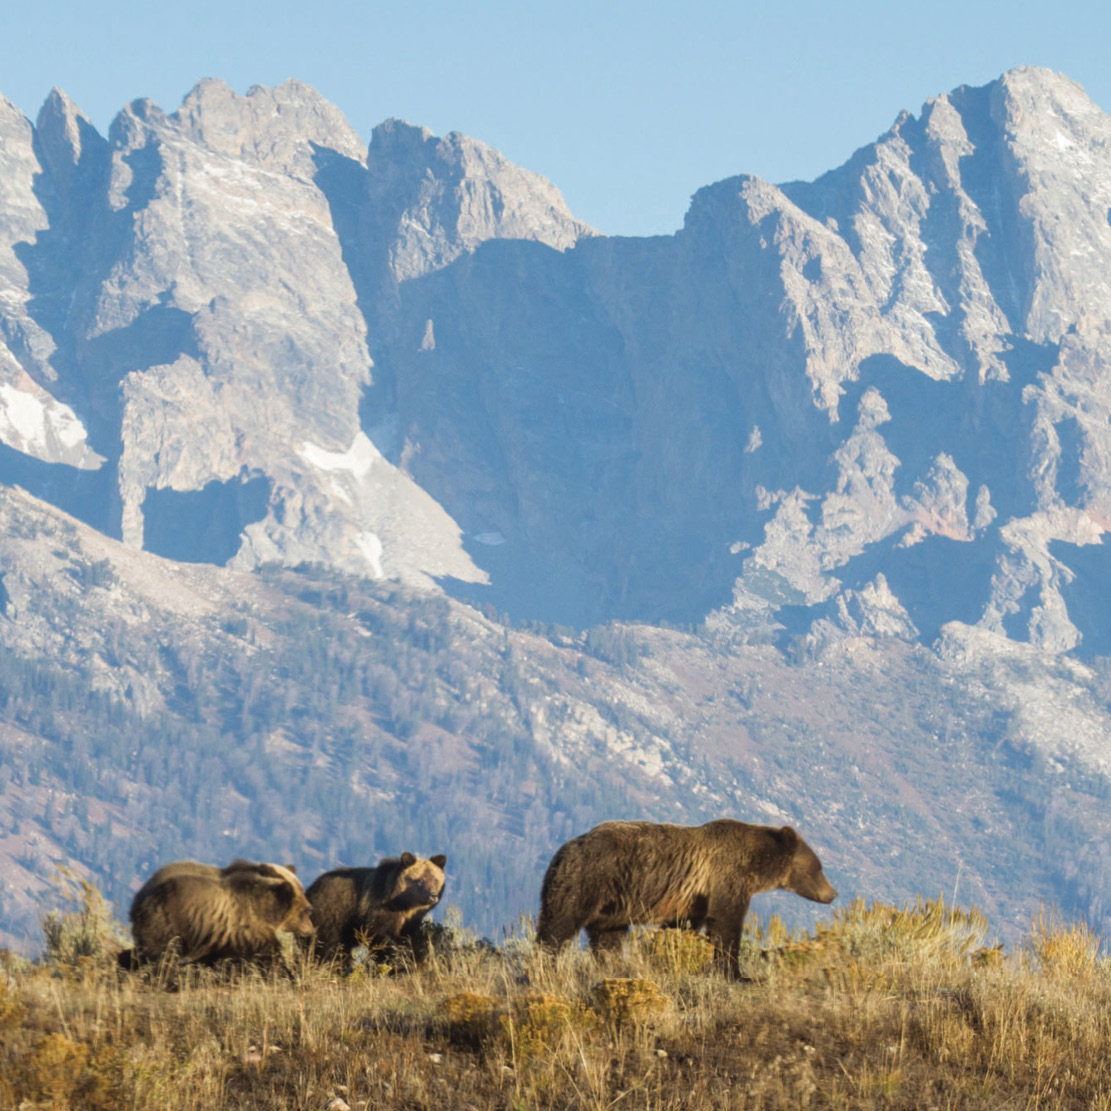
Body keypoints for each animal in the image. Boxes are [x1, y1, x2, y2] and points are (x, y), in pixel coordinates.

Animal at [305, 852, 447, 965]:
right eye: (421, 881)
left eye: (435, 880)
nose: (433, 895)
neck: (403, 905)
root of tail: (310, 888)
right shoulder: (377, 909)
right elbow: (379, 932)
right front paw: (398, 956)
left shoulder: (411, 922)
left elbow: (409, 938)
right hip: (332, 913)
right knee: (328, 944)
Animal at [535, 819, 836, 977]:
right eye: (819, 867)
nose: (833, 894)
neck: (756, 864)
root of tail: (562, 851)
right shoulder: (727, 877)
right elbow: (726, 924)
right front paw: (736, 973)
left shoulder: (694, 898)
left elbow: (682, 927)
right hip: (587, 880)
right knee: (558, 924)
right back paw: (544, 965)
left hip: (614, 905)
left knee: (608, 938)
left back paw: (614, 967)